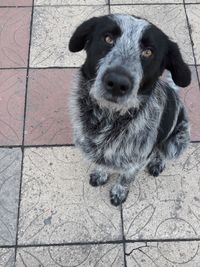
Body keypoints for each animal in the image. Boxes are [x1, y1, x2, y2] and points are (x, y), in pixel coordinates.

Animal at [68, 14, 191, 207]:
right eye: (108, 38)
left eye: (148, 52)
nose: (117, 83)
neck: (107, 119)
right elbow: (102, 165)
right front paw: (101, 173)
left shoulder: (137, 162)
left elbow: (126, 179)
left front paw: (119, 193)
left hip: (177, 143)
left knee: (163, 153)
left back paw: (157, 162)